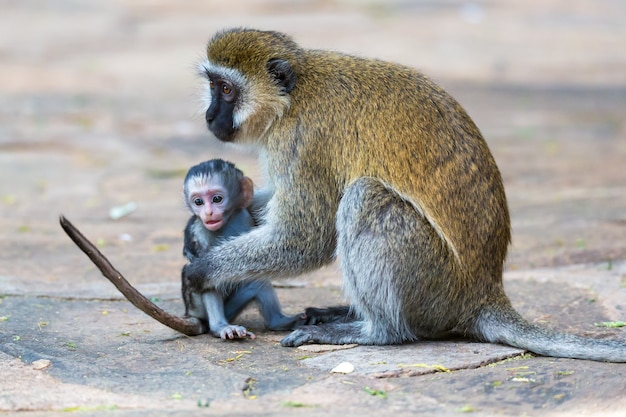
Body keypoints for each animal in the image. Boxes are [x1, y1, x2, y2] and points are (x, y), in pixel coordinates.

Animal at [179, 158, 302, 340]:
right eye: (198, 202)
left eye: (217, 199)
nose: (208, 213)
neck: (227, 223)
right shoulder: (200, 233)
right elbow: (206, 279)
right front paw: (221, 328)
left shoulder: (245, 214)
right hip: (197, 309)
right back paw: (218, 326)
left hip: (232, 308)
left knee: (258, 281)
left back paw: (279, 322)